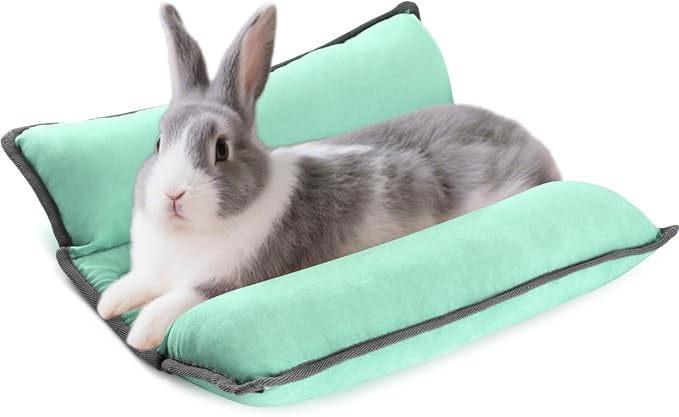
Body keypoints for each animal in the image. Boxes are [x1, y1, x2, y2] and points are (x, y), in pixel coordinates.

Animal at [97, 3, 561, 351]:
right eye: (159, 143)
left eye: (221, 149)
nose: (173, 195)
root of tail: (534, 147)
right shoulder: (153, 272)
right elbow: (135, 284)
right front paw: (108, 304)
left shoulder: (230, 280)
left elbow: (180, 300)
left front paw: (141, 333)